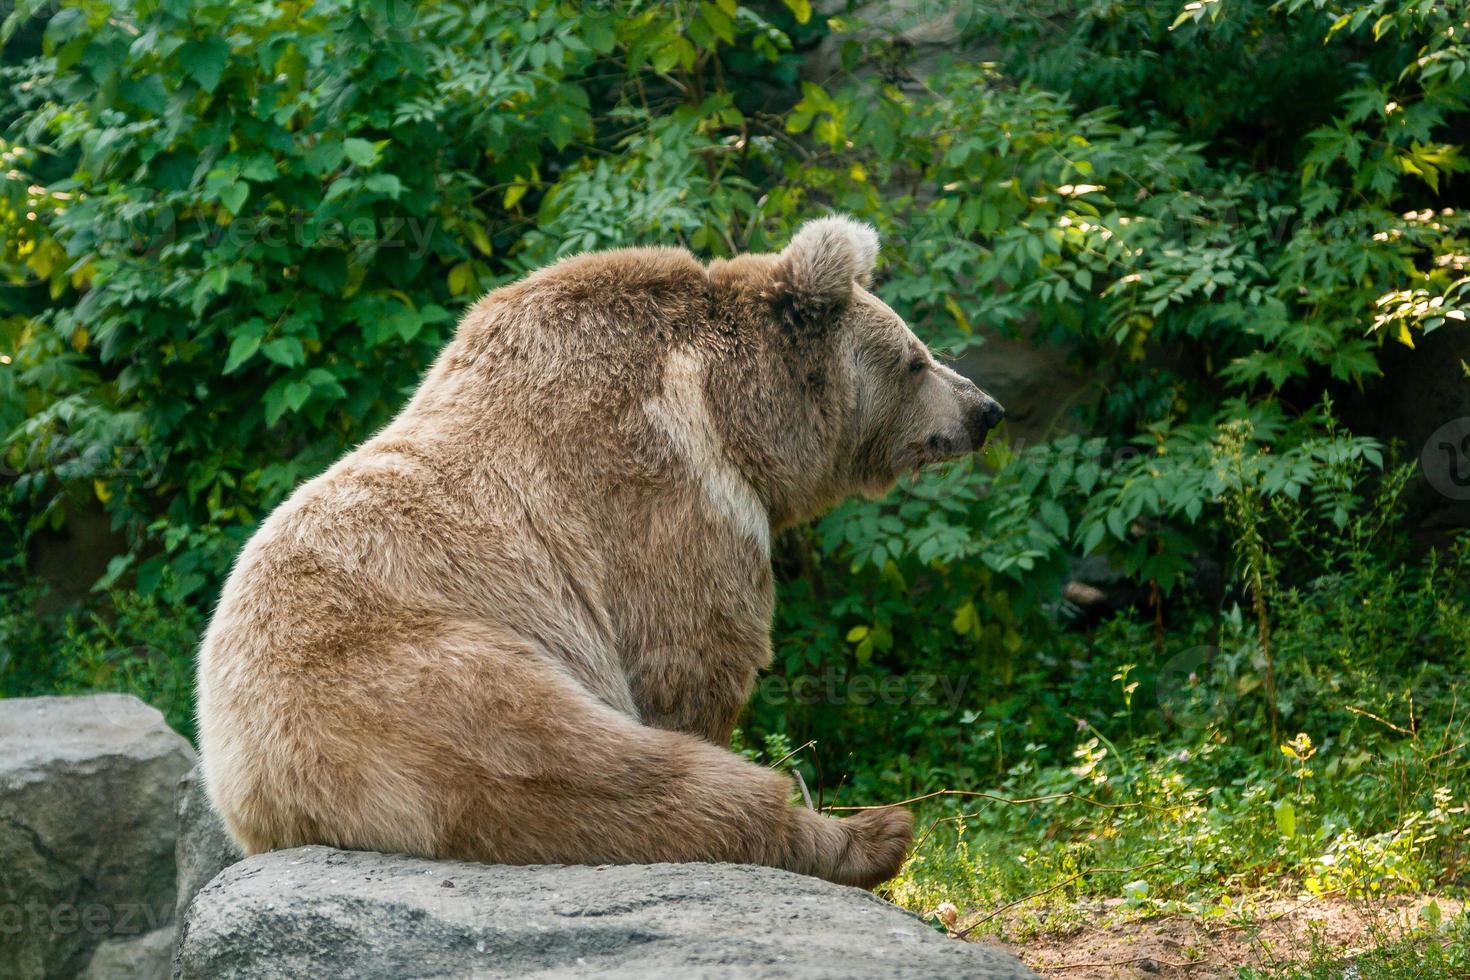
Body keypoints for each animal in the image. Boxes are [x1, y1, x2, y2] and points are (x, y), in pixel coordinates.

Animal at [198, 214, 999, 887]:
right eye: (916, 360)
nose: (985, 409)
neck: (731, 415)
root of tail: (250, 775)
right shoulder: (665, 492)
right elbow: (690, 655)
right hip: (424, 687)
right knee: (617, 777)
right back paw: (873, 833)